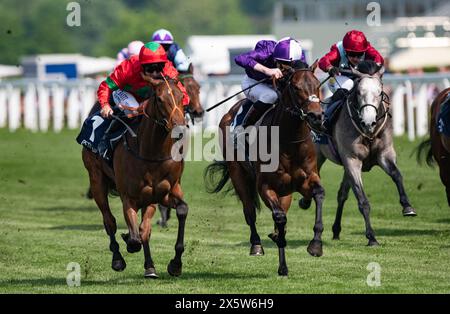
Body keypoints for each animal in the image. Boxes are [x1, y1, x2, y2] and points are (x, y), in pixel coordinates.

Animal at [81, 75, 189, 278]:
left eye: (181, 96)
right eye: (159, 99)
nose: (179, 128)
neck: (151, 153)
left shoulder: (163, 193)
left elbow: (179, 211)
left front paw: (175, 264)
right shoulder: (129, 198)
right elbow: (134, 235)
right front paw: (128, 242)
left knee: (143, 229)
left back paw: (150, 266)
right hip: (96, 179)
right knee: (109, 221)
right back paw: (117, 259)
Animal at [206, 60, 326, 274]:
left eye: (318, 85)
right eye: (296, 87)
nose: (316, 117)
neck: (289, 141)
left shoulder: (306, 179)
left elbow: (318, 194)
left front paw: (315, 245)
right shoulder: (265, 186)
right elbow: (278, 217)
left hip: (285, 190)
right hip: (238, 174)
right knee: (249, 212)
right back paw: (256, 245)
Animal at [304, 61, 416, 247]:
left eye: (380, 92)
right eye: (358, 92)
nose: (368, 122)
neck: (368, 133)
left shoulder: (384, 154)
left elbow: (397, 175)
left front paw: (407, 206)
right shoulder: (352, 161)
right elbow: (362, 200)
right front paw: (371, 237)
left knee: (342, 194)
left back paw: (336, 230)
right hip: (317, 156)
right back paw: (305, 202)